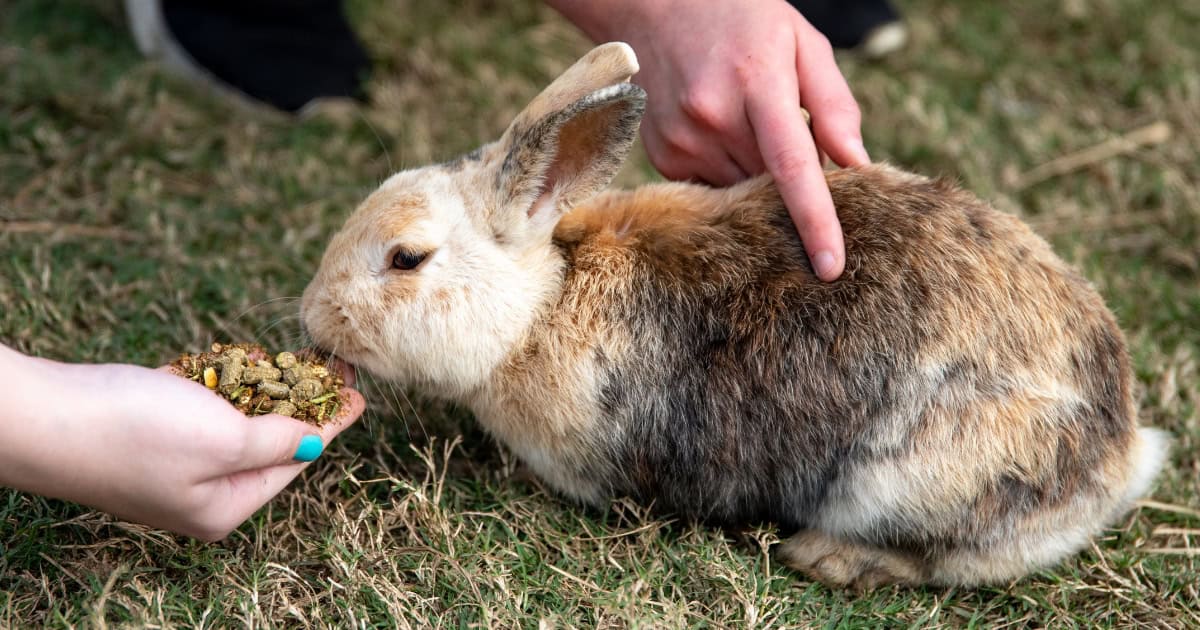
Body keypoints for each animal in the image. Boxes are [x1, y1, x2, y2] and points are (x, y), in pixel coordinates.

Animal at [300, 42, 1169, 588]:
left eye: (407, 259)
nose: (313, 318)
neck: (541, 306)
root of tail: (1122, 449)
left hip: (910, 481)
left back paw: (829, 559)